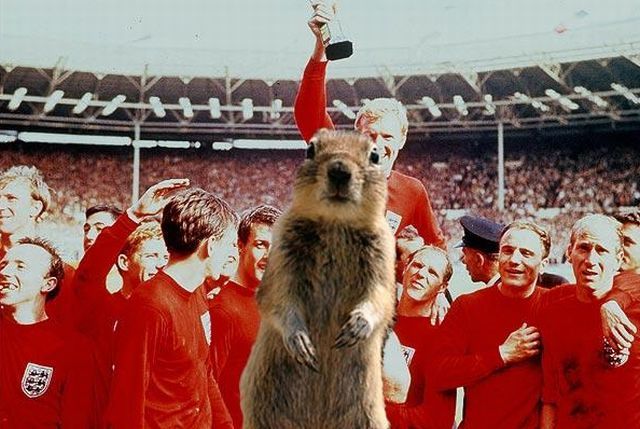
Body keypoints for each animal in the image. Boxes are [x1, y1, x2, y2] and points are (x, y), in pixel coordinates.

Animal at [240, 129, 397, 429]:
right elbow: (277, 296)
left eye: (374, 155)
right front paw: (301, 342)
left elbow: (380, 296)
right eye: (309, 150)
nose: (339, 170)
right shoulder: (283, 250)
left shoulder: (383, 252)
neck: (336, 222)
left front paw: (355, 327)